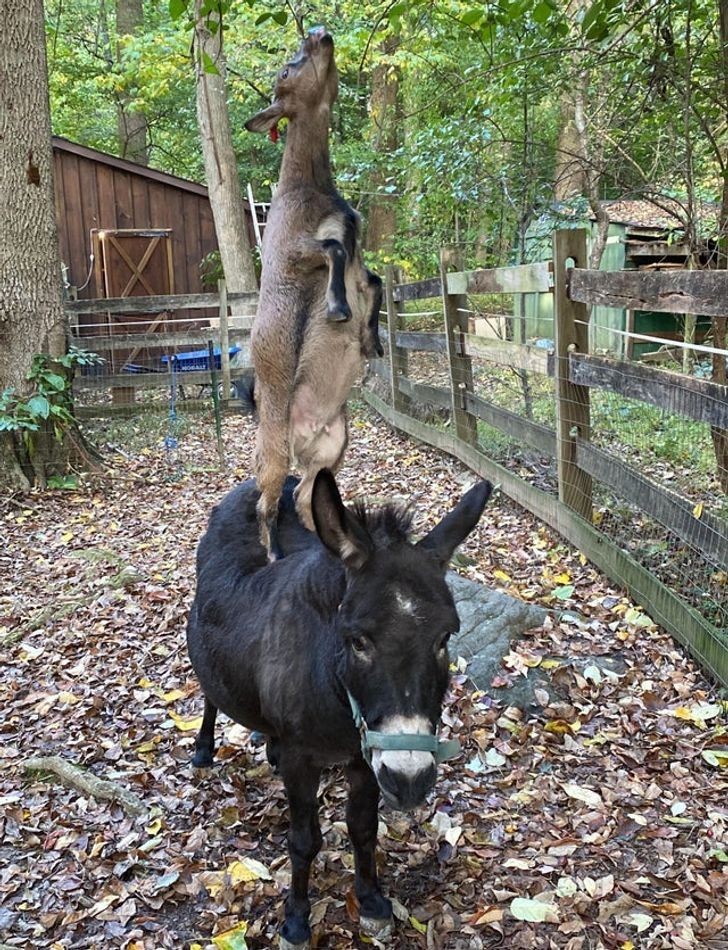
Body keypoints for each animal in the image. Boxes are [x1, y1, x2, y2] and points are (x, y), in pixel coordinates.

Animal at [245, 26, 384, 560]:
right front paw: (338, 310)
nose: (320, 32)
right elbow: (332, 248)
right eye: (287, 68)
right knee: (266, 501)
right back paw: (273, 555)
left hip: (330, 451)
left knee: (306, 497)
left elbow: (376, 282)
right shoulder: (292, 252)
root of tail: (304, 436)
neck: (309, 190)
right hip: (274, 447)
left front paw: (371, 340)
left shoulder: (361, 262)